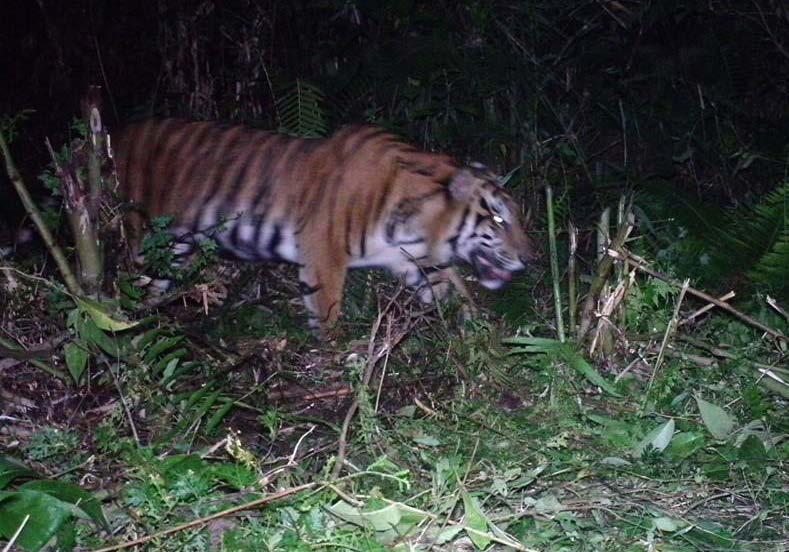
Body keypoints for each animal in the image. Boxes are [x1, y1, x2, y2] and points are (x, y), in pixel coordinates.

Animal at [115, 119, 536, 336]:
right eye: (499, 219)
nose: (528, 258)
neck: (419, 225)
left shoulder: (414, 260)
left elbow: (456, 296)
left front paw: (486, 344)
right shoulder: (324, 256)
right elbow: (327, 314)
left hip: (173, 251)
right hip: (141, 237)